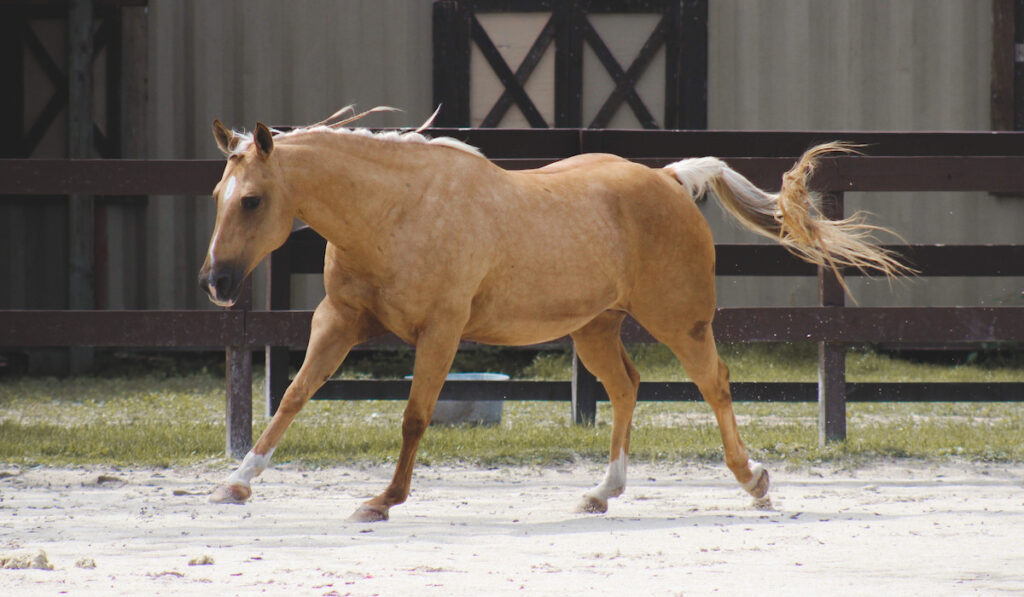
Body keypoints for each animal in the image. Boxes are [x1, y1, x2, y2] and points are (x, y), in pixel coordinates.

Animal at [199, 108, 905, 524]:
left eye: (253, 200)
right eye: (217, 195)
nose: (217, 283)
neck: (396, 210)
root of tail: (669, 179)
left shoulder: (440, 332)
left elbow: (414, 417)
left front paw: (382, 500)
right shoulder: (338, 322)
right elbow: (291, 397)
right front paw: (237, 482)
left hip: (680, 321)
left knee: (715, 384)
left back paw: (753, 481)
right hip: (594, 328)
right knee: (626, 387)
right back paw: (602, 492)